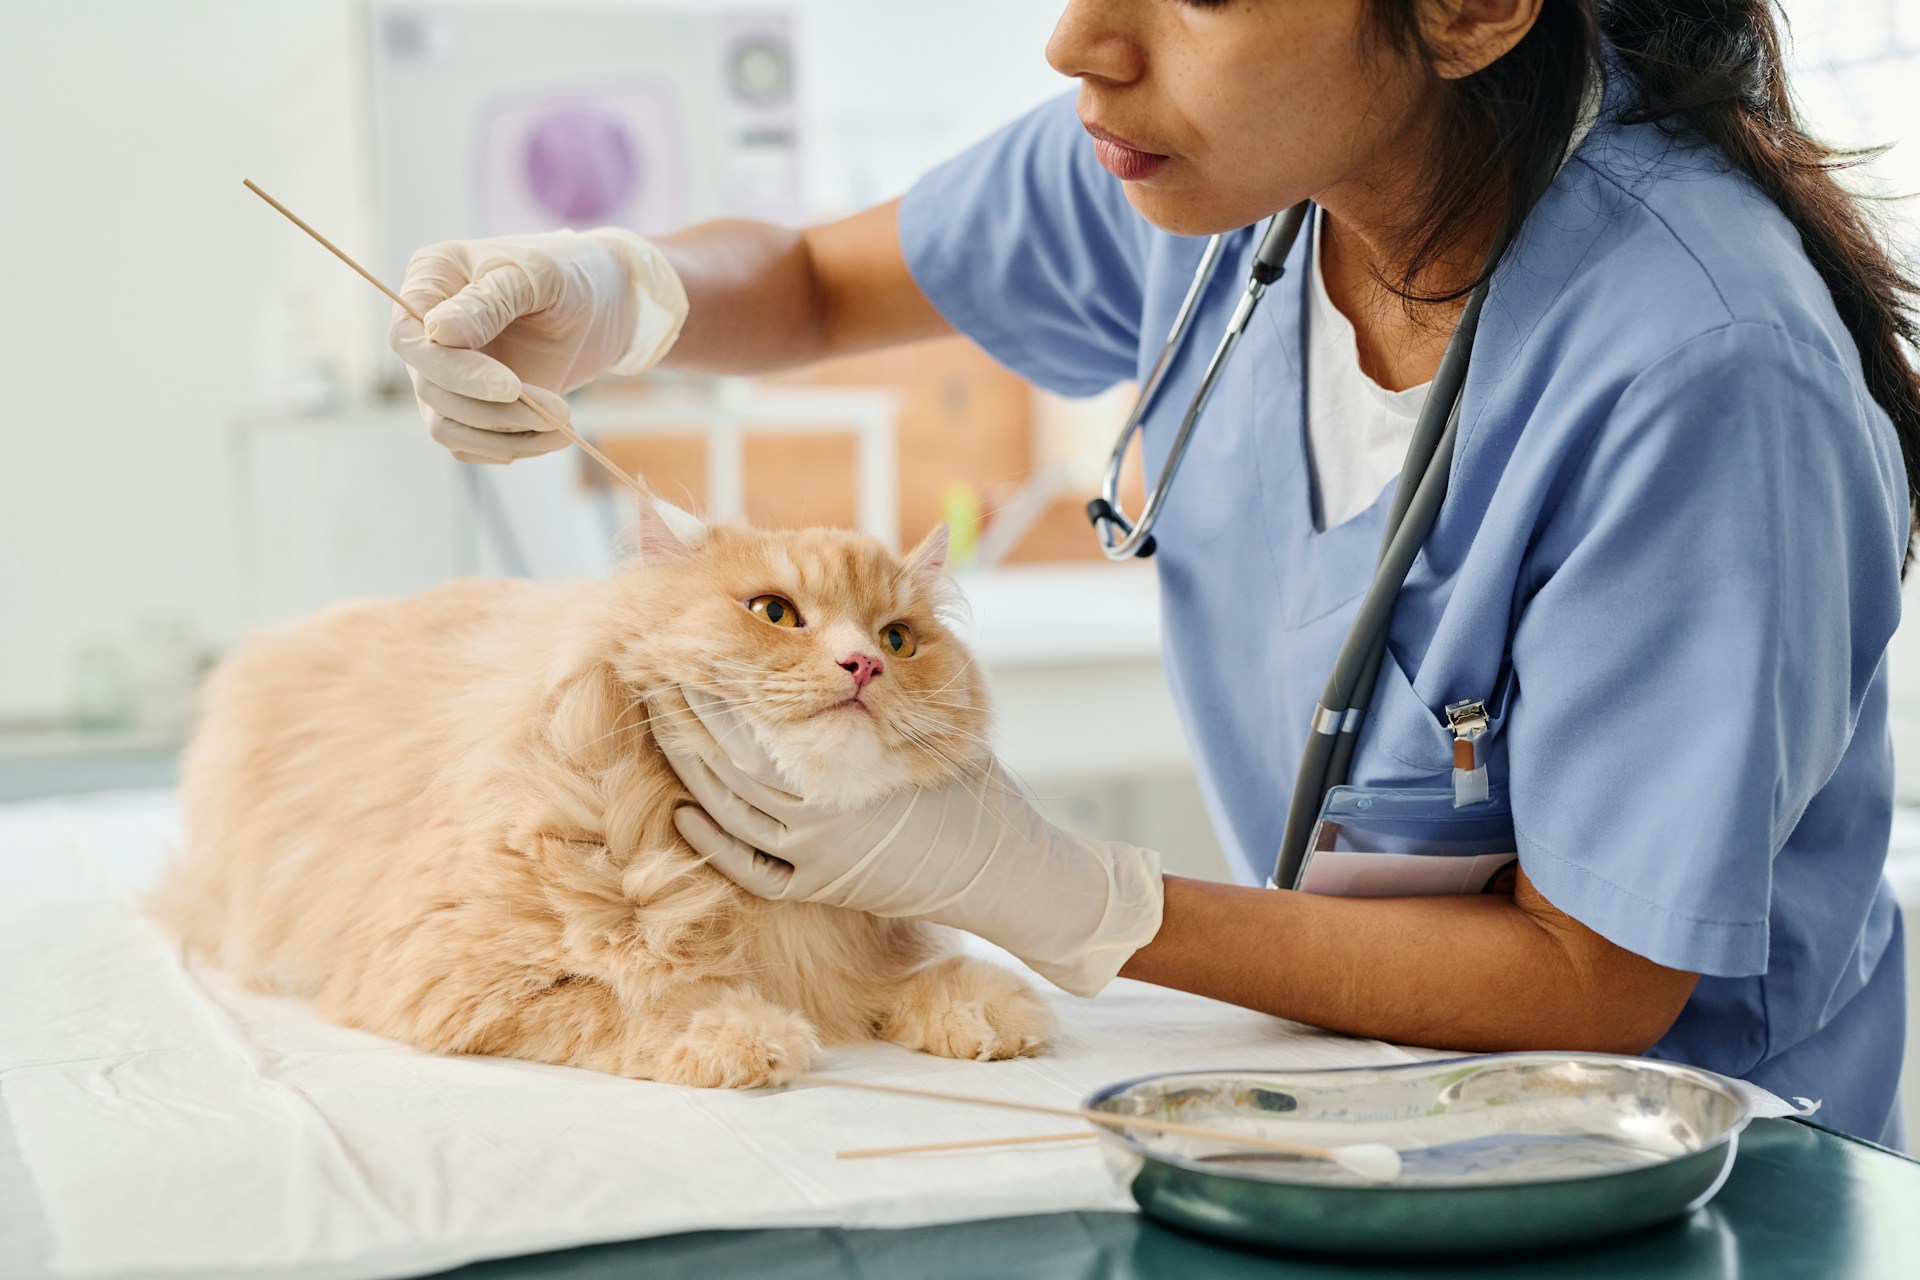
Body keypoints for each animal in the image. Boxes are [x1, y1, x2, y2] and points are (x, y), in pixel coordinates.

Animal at [149, 506, 1052, 1090]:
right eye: (774, 613)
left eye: (900, 639)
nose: (864, 665)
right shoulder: (450, 975)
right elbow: (629, 1001)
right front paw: (739, 1035)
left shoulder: (857, 961)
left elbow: (921, 982)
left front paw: (991, 1014)